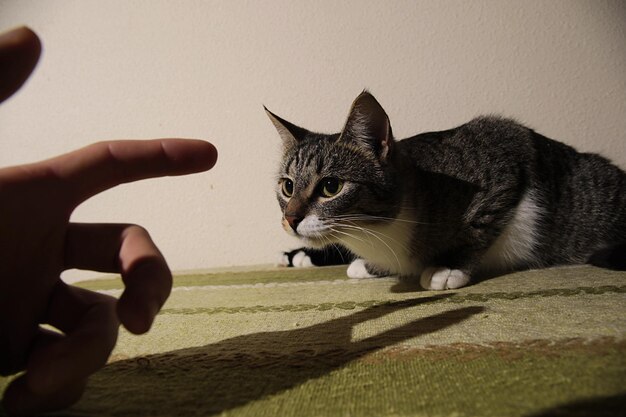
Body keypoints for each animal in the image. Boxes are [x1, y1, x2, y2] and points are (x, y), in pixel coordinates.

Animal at [264, 90, 624, 290]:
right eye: (288, 186)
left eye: (331, 187)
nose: (291, 219)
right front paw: (363, 265)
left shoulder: (509, 149)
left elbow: (479, 228)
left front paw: (448, 267)